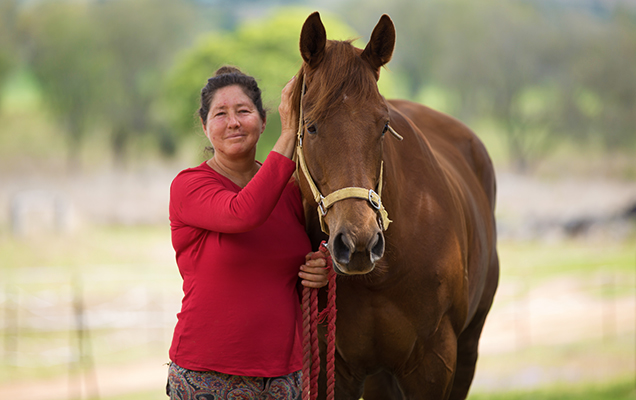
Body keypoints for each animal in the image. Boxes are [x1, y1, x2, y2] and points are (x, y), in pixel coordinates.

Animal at [290, 10, 500, 398]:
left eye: (384, 127)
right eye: (311, 127)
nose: (358, 243)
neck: (381, 276)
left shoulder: (435, 363)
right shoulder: (332, 366)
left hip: (467, 350)